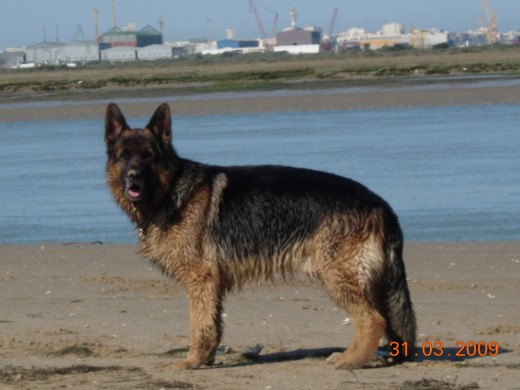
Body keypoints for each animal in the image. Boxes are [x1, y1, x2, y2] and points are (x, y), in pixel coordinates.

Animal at [103, 102, 416, 370]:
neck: (171, 190)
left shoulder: (201, 281)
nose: (133, 177)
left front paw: (193, 361)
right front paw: (206, 359)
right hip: (367, 282)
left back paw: (352, 360)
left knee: (373, 320)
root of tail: (381, 204)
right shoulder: (212, 286)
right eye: (124, 156)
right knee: (385, 320)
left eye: (149, 156)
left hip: (337, 277)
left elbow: (199, 325)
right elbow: (213, 325)